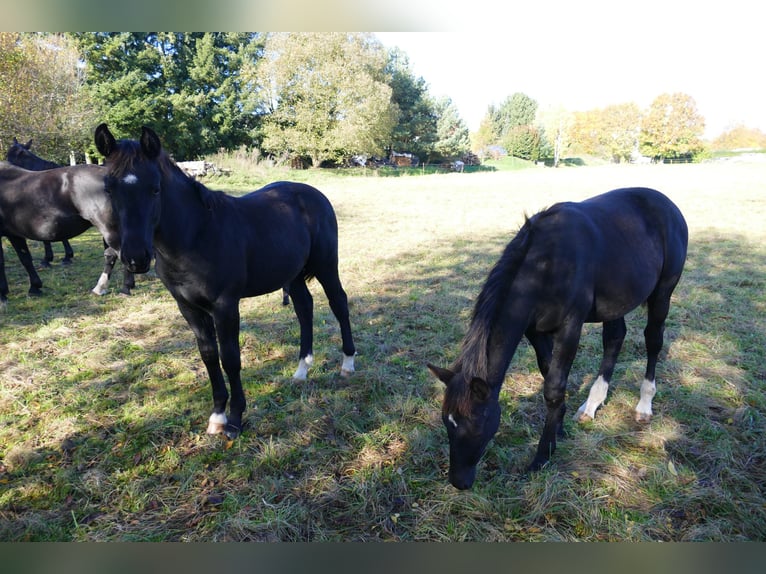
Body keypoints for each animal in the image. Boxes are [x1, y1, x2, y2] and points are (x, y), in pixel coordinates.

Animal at [94, 125, 358, 440]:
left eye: (155, 188)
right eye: (109, 189)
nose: (136, 257)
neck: (196, 235)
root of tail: (314, 194)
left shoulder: (225, 306)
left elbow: (230, 358)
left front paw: (234, 420)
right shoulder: (188, 307)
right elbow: (208, 355)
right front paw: (217, 415)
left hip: (326, 265)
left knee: (338, 303)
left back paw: (347, 364)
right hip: (291, 274)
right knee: (304, 308)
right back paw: (301, 370)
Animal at [432, 189, 688, 490]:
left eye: (476, 424)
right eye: (447, 422)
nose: (458, 481)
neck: (545, 266)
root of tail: (668, 204)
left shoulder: (570, 328)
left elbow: (554, 387)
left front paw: (542, 456)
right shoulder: (534, 330)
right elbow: (548, 373)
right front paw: (560, 428)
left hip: (662, 294)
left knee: (653, 341)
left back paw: (644, 405)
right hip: (617, 301)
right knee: (614, 339)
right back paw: (591, 406)